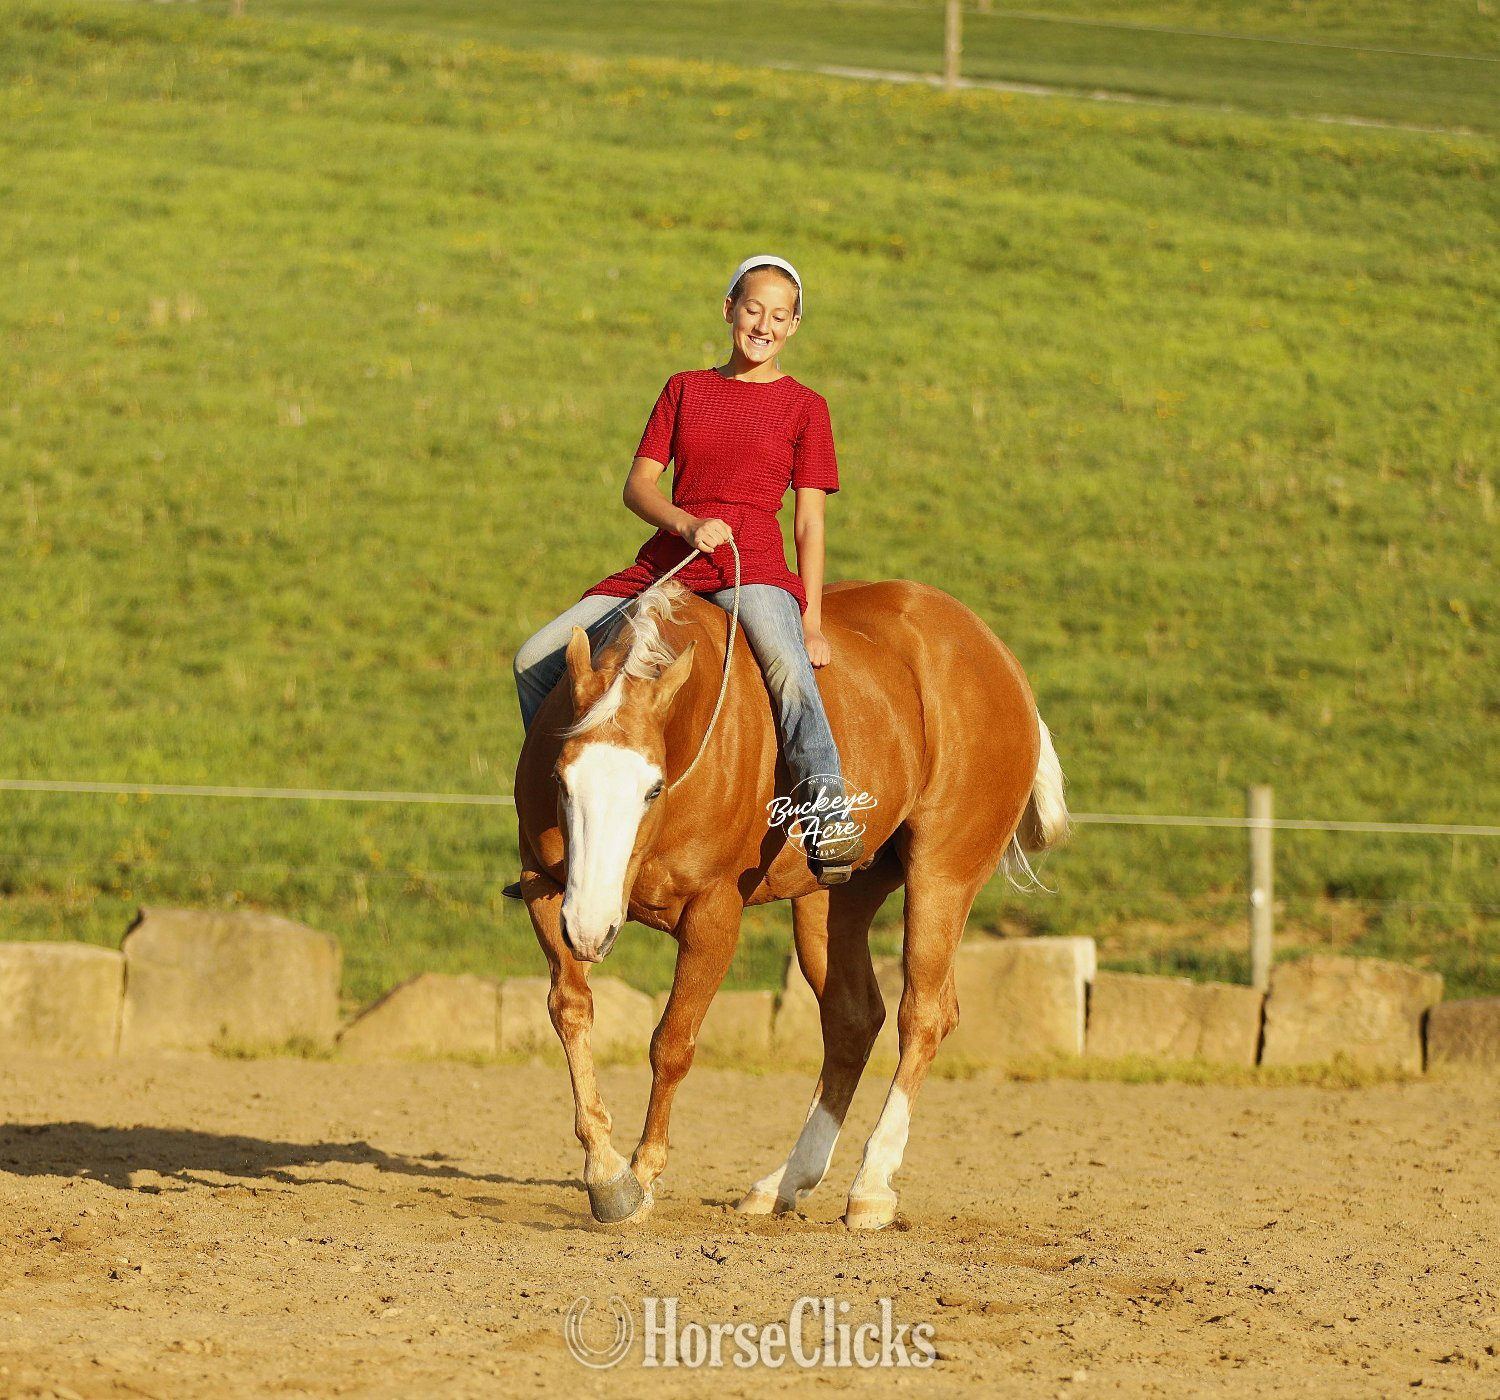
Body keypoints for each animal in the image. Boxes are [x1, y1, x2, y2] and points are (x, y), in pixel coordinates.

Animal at [512, 576, 1068, 1228]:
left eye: (652, 788)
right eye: (560, 778)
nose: (591, 927)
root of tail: (998, 658)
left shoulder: (713, 915)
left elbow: (672, 1043)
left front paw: (642, 1176)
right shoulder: (546, 890)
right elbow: (570, 1012)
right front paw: (606, 1173)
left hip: (942, 876)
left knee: (924, 1015)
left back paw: (872, 1185)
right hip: (833, 904)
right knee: (853, 1020)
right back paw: (784, 1180)